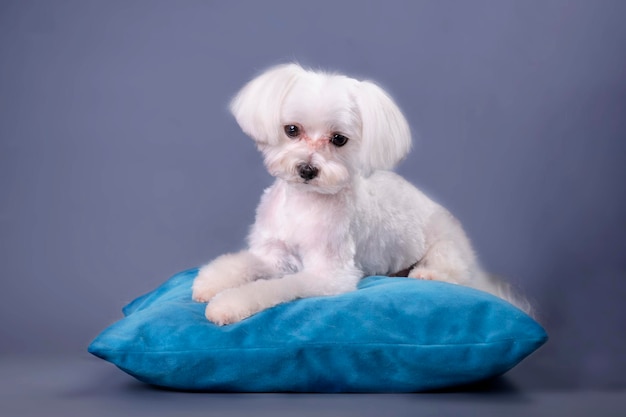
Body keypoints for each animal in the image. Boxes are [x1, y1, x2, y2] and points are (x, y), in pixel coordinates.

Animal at [190, 62, 520, 324]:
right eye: (291, 129)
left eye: (339, 139)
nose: (307, 170)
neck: (302, 205)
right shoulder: (272, 255)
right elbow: (241, 263)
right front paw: (210, 283)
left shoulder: (327, 274)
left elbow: (273, 287)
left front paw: (228, 303)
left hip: (446, 244)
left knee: (453, 271)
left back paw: (427, 274)